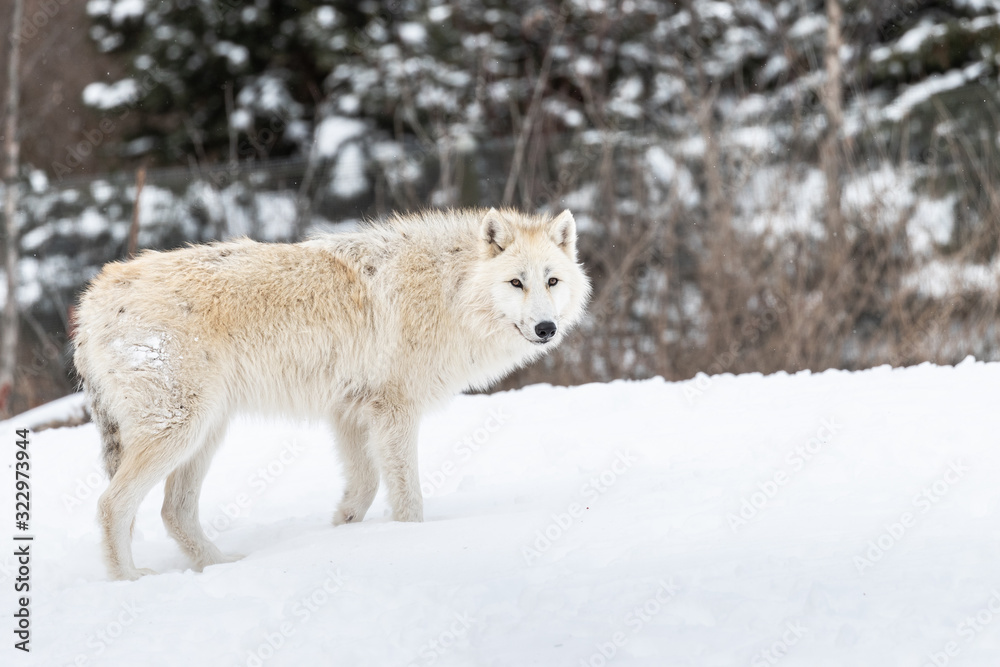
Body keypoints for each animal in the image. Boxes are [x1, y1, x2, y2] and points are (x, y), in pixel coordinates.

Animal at [73, 207, 590, 580]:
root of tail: (92, 298)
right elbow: (407, 498)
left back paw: (218, 568)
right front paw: (411, 543)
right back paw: (129, 581)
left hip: (205, 434)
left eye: (552, 281)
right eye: (516, 282)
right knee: (111, 505)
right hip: (180, 430)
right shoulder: (395, 411)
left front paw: (342, 532)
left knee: (173, 512)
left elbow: (364, 486)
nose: (546, 328)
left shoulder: (350, 413)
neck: (449, 291)